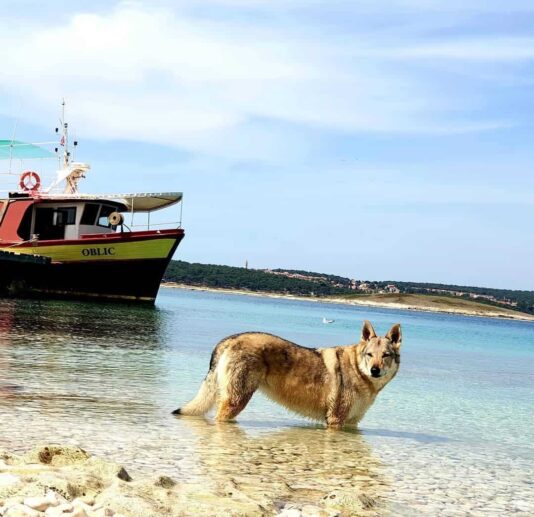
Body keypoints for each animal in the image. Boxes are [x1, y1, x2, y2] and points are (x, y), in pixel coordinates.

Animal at [174, 318, 404, 428]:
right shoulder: (335, 421)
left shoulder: (352, 423)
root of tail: (230, 338)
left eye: (385, 355)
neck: (359, 372)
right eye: (369, 354)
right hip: (236, 402)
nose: (375, 370)